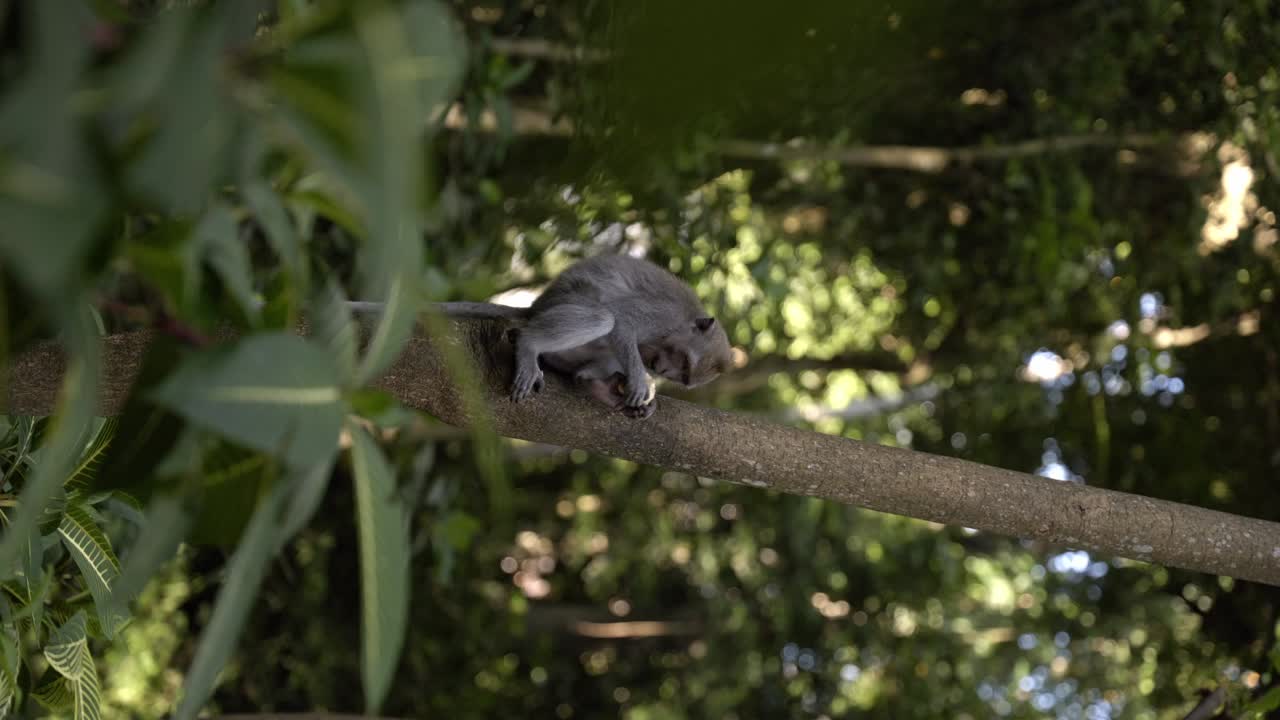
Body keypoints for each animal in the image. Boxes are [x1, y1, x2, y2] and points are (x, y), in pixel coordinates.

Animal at [355, 254, 734, 419]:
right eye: (683, 363)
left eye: (683, 375)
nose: (662, 370)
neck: (684, 320)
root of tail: (537, 305)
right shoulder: (661, 315)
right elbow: (624, 324)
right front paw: (642, 382)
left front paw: (642, 387)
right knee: (603, 318)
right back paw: (529, 345)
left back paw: (592, 382)